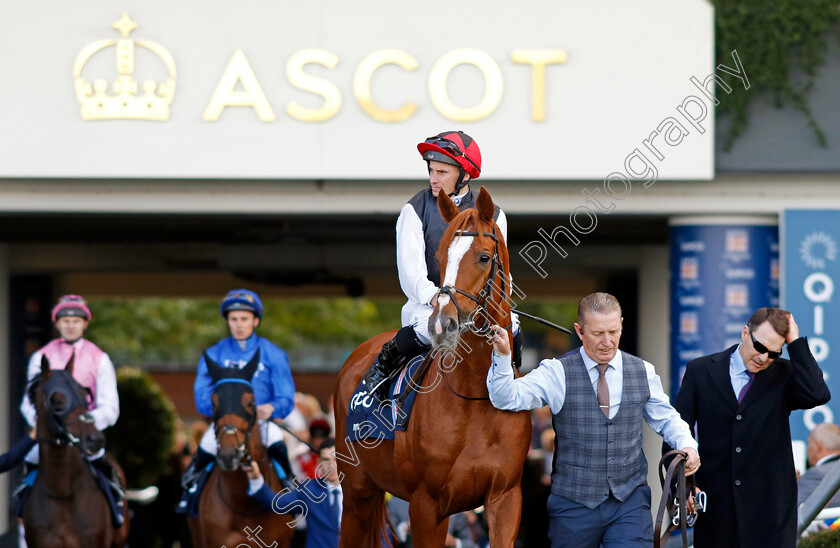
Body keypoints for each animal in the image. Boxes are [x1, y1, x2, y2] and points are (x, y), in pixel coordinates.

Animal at [334, 186, 532, 544]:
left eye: (484, 257)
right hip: (356, 492)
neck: (477, 398)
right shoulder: (426, 505)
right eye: (440, 257)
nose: (442, 323)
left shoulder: (506, 498)